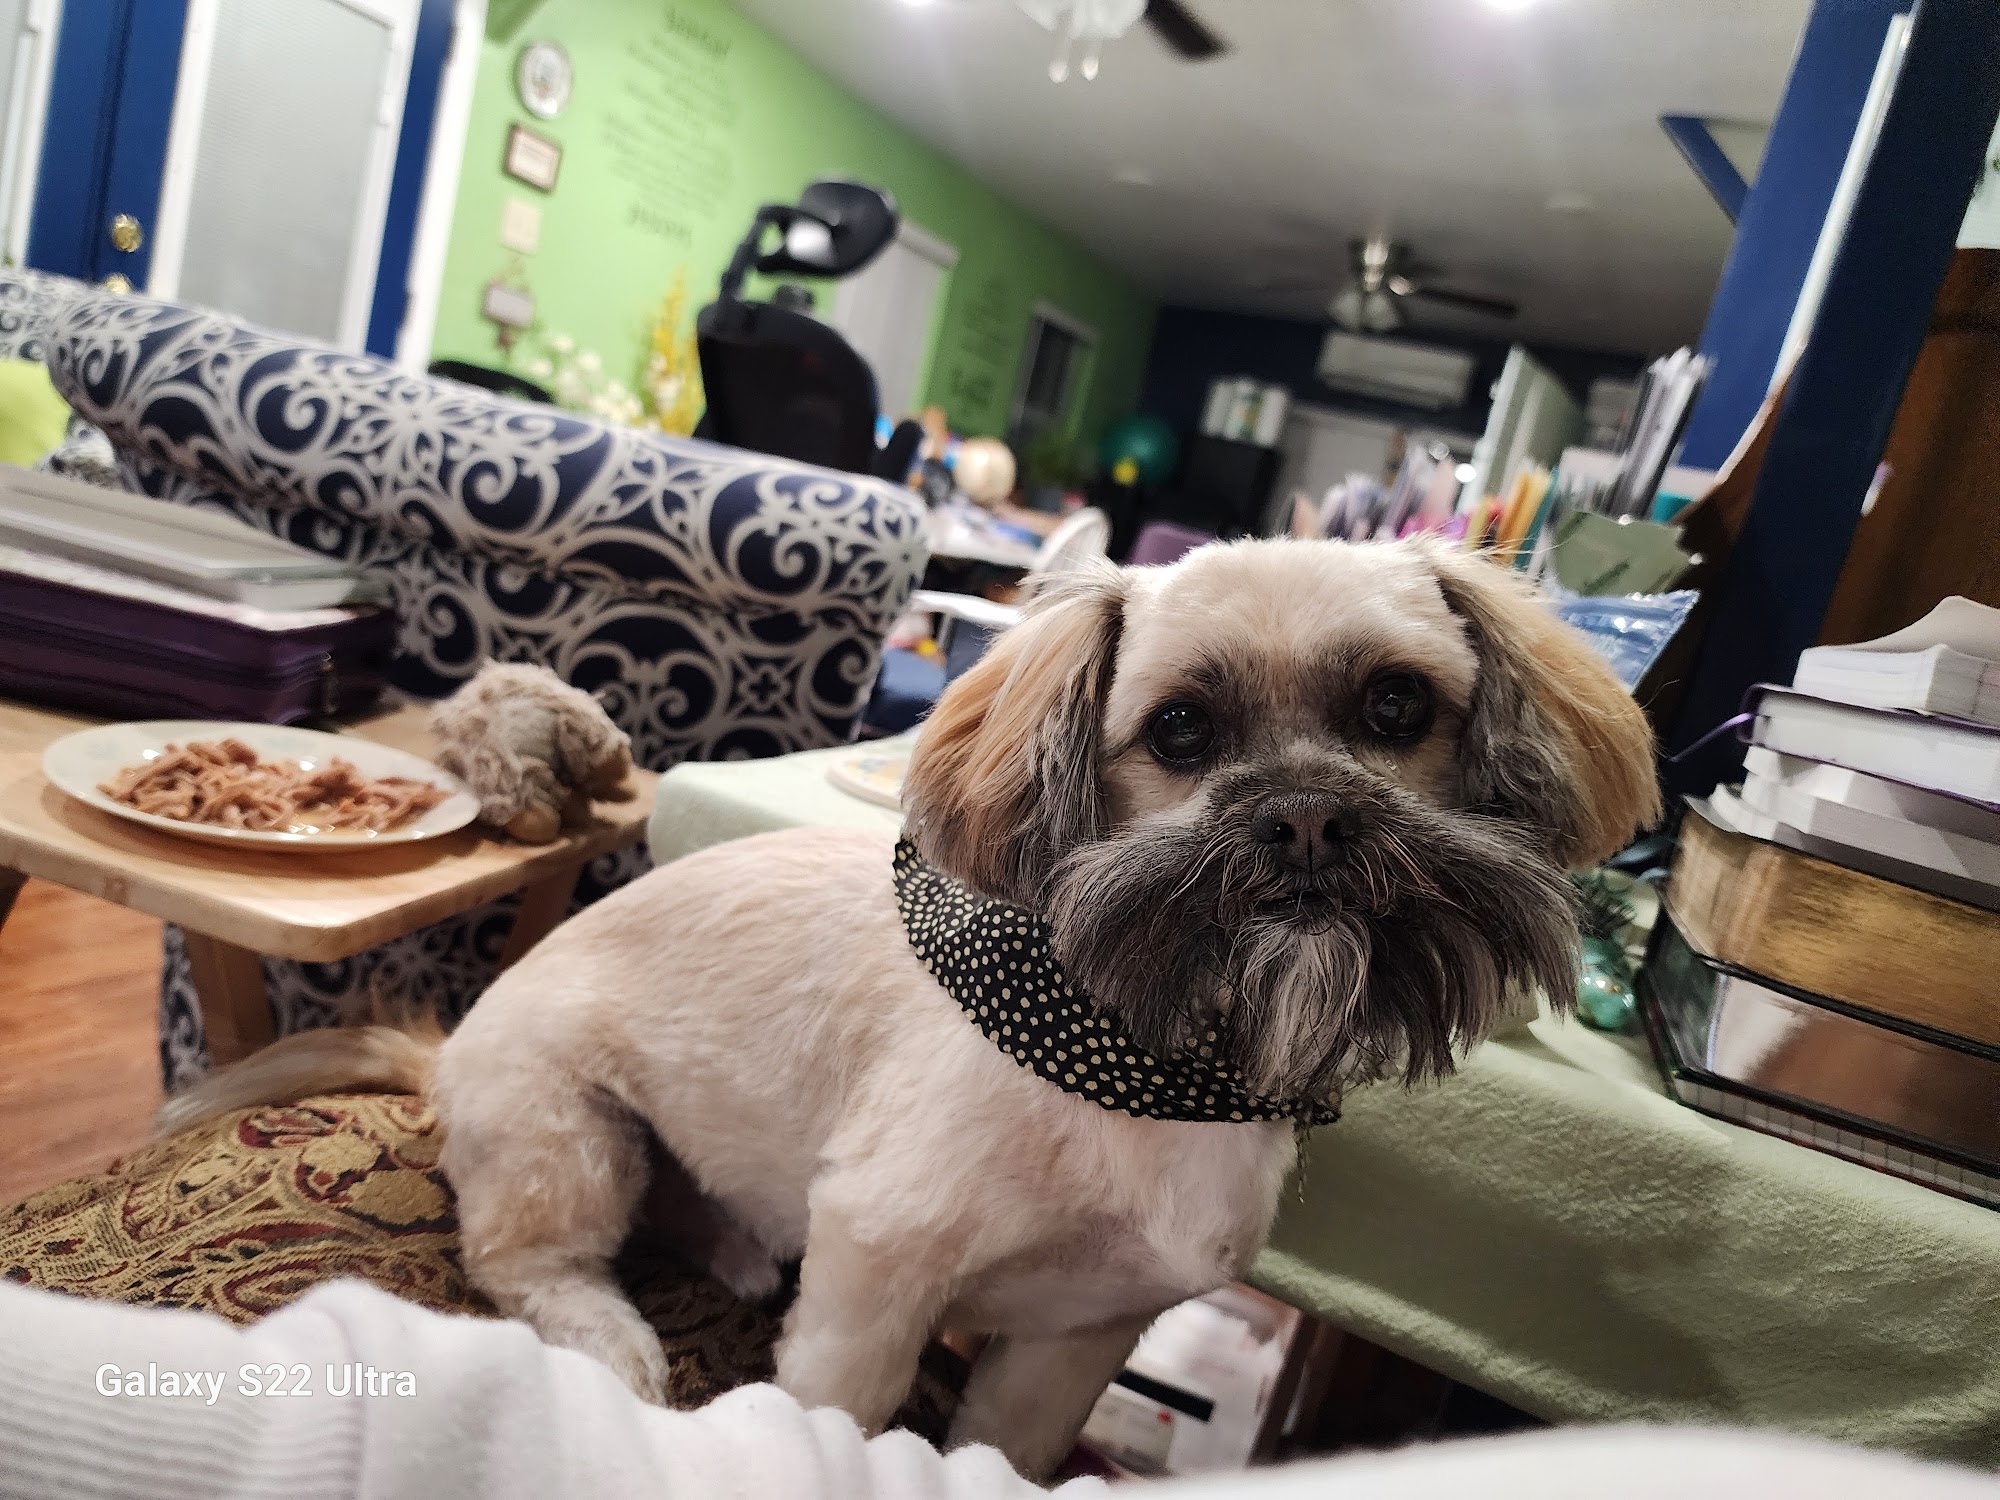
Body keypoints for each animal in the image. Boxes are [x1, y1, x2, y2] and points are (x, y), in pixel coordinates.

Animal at [163, 537, 1658, 1479]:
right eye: (1179, 732)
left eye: (1398, 706)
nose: (1304, 816)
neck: (1142, 1059)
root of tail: (451, 1052)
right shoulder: (878, 1277)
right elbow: (836, 1411)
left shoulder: (1077, 1334)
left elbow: (1000, 1453)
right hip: (571, 1137)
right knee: (531, 1266)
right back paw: (620, 1333)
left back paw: (731, 1241)